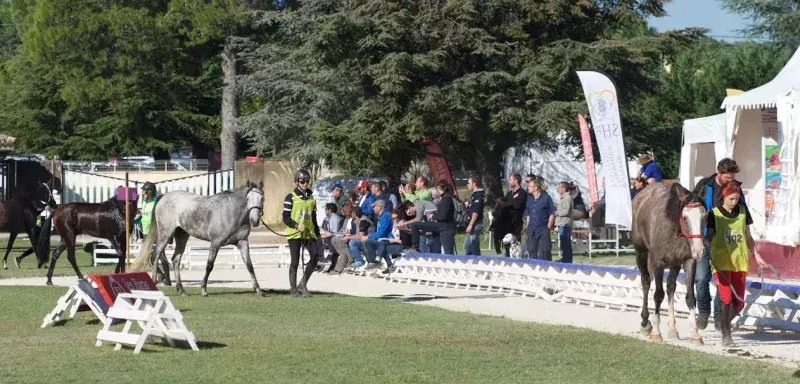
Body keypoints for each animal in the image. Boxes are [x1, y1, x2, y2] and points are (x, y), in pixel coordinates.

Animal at [131, 181, 266, 296]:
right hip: (165, 235)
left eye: (262, 198)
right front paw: (203, 290)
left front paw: (258, 290)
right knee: (156, 254)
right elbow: (209, 265)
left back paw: (181, 290)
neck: (231, 212)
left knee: (175, 260)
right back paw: (155, 281)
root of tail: (164, 197)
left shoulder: (242, 242)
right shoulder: (215, 243)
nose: (254, 221)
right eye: (247, 199)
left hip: (182, 236)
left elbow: (249, 265)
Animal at [632, 183, 708, 344]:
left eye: (704, 216)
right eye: (685, 217)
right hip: (641, 252)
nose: (699, 250)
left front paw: (695, 334)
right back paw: (645, 323)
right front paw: (656, 332)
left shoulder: (689, 261)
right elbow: (658, 295)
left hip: (674, 264)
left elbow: (690, 297)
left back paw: (672, 329)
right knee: (646, 282)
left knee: (671, 287)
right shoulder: (659, 263)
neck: (674, 229)